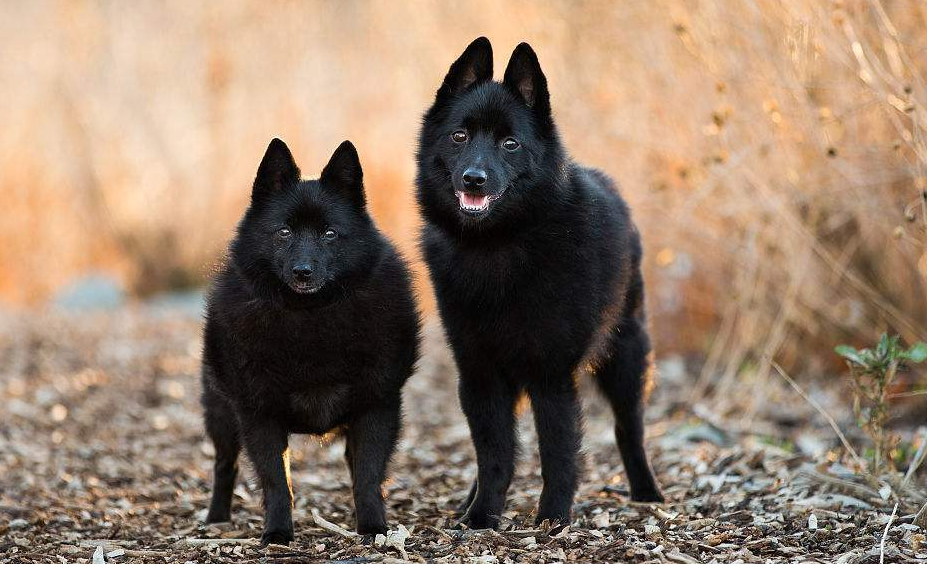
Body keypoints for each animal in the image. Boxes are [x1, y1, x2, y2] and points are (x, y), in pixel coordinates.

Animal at [204, 138, 424, 548]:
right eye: (284, 232)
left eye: (330, 234)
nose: (303, 271)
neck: (311, 317)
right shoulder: (259, 415)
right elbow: (277, 482)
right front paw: (277, 534)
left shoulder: (376, 407)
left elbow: (368, 477)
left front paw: (374, 529)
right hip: (221, 416)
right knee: (225, 465)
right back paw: (215, 521)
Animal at [416, 38, 664, 528]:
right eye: (460, 136)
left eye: (510, 144)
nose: (474, 178)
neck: (497, 246)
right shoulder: (480, 373)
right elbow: (494, 455)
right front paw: (481, 516)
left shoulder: (551, 377)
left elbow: (558, 454)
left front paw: (553, 519)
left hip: (626, 357)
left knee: (630, 430)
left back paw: (647, 493)